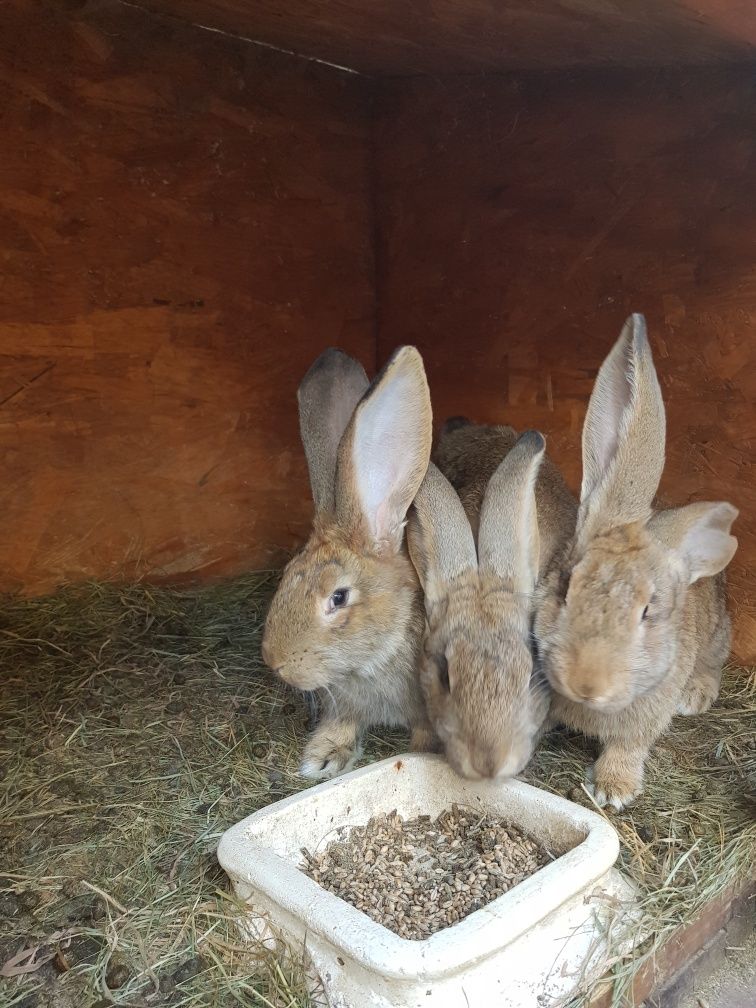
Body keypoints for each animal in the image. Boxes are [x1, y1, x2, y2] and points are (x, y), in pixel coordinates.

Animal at [262, 346, 435, 778]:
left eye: (338, 598)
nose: (275, 663)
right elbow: (342, 724)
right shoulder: (345, 705)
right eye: (286, 575)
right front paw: (321, 759)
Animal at [532, 314, 741, 810]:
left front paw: (612, 790)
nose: (586, 682)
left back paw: (696, 695)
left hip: (717, 635)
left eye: (648, 612)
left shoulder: (645, 716)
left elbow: (629, 745)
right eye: (564, 586)